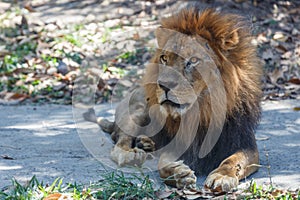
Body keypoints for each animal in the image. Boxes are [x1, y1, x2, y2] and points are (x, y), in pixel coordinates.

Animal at [84, 6, 260, 192]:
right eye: (164, 58)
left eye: (193, 60)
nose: (164, 85)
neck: (201, 111)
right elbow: (162, 164)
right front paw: (178, 175)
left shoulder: (245, 144)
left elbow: (233, 161)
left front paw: (222, 176)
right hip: (137, 111)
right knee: (119, 140)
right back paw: (133, 152)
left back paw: (145, 143)